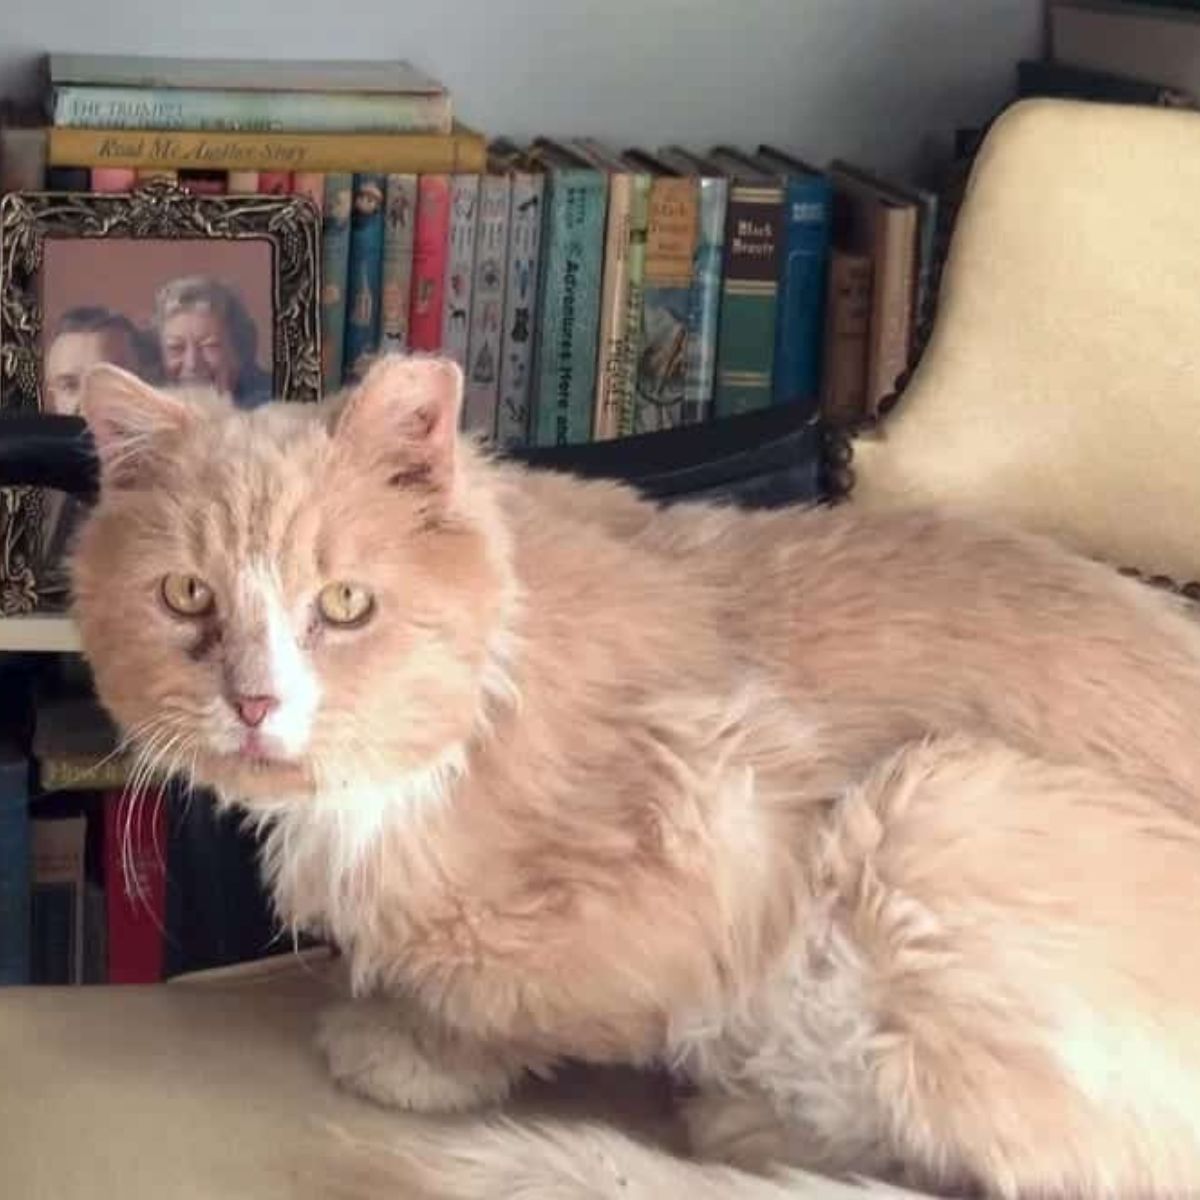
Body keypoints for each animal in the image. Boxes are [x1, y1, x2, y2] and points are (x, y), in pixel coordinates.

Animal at [65, 355, 1200, 1200]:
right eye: (186, 596)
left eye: (344, 604)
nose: (254, 704)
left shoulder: (721, 814)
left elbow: (488, 989)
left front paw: (412, 1053)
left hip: (931, 806)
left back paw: (747, 1122)